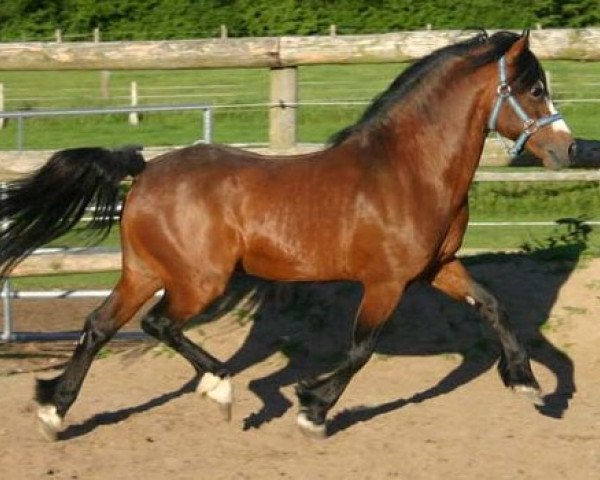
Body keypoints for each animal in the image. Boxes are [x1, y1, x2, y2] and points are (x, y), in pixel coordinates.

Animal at [0, 31, 576, 440]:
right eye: (534, 89)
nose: (569, 150)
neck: (408, 171)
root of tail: (144, 170)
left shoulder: (439, 266)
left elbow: (494, 306)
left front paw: (528, 384)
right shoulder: (387, 282)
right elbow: (361, 348)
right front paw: (313, 409)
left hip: (143, 272)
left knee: (98, 326)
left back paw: (54, 411)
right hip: (199, 281)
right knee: (158, 324)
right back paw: (220, 389)